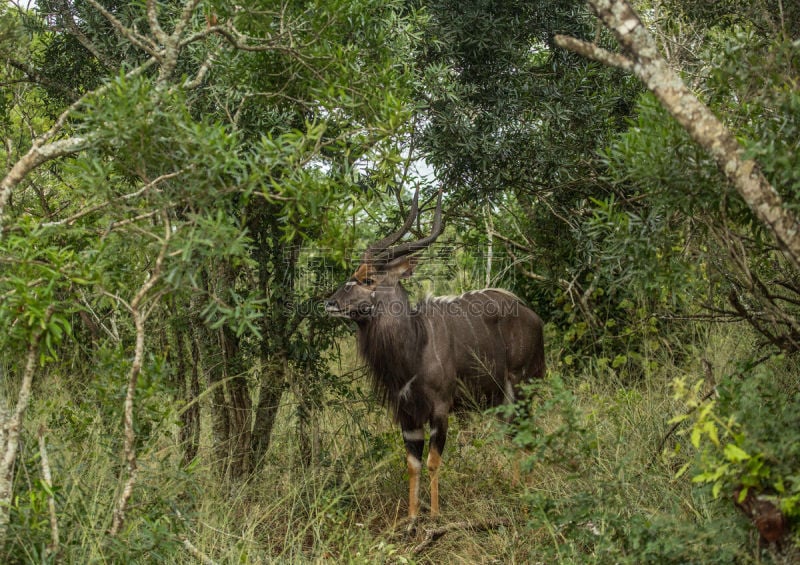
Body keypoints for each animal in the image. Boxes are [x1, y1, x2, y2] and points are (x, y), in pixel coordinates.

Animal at [324, 191, 544, 520]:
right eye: (355, 275)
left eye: (368, 280)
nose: (330, 303)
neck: (416, 344)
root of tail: (535, 318)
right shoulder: (407, 414)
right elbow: (412, 464)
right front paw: (412, 518)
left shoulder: (441, 409)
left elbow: (433, 461)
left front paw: (436, 515)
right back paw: (515, 488)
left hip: (522, 387)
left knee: (526, 434)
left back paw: (526, 496)